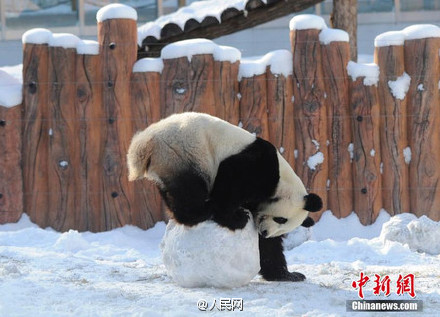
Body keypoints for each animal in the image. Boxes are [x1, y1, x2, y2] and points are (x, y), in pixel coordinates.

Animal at [125, 112, 322, 280]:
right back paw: (200, 214)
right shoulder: (257, 167)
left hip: (169, 163)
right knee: (190, 189)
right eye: (281, 219)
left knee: (173, 192)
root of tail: (144, 143)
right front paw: (234, 219)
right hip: (183, 153)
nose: (265, 232)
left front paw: (288, 275)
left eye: (283, 227)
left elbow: (267, 247)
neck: (283, 183)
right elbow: (229, 186)